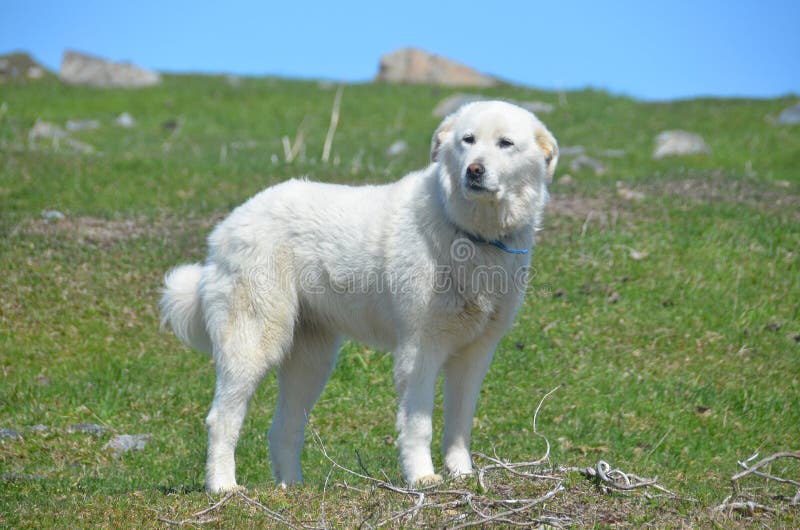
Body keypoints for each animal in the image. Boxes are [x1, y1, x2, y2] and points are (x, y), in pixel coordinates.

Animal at [160, 100, 560, 490]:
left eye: (505, 143)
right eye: (468, 140)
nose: (474, 170)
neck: (471, 233)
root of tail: (227, 226)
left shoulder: (475, 354)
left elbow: (459, 425)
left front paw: (461, 474)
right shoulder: (420, 350)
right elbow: (418, 424)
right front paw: (422, 477)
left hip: (311, 362)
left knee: (283, 429)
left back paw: (293, 487)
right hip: (254, 342)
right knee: (221, 419)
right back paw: (223, 487)